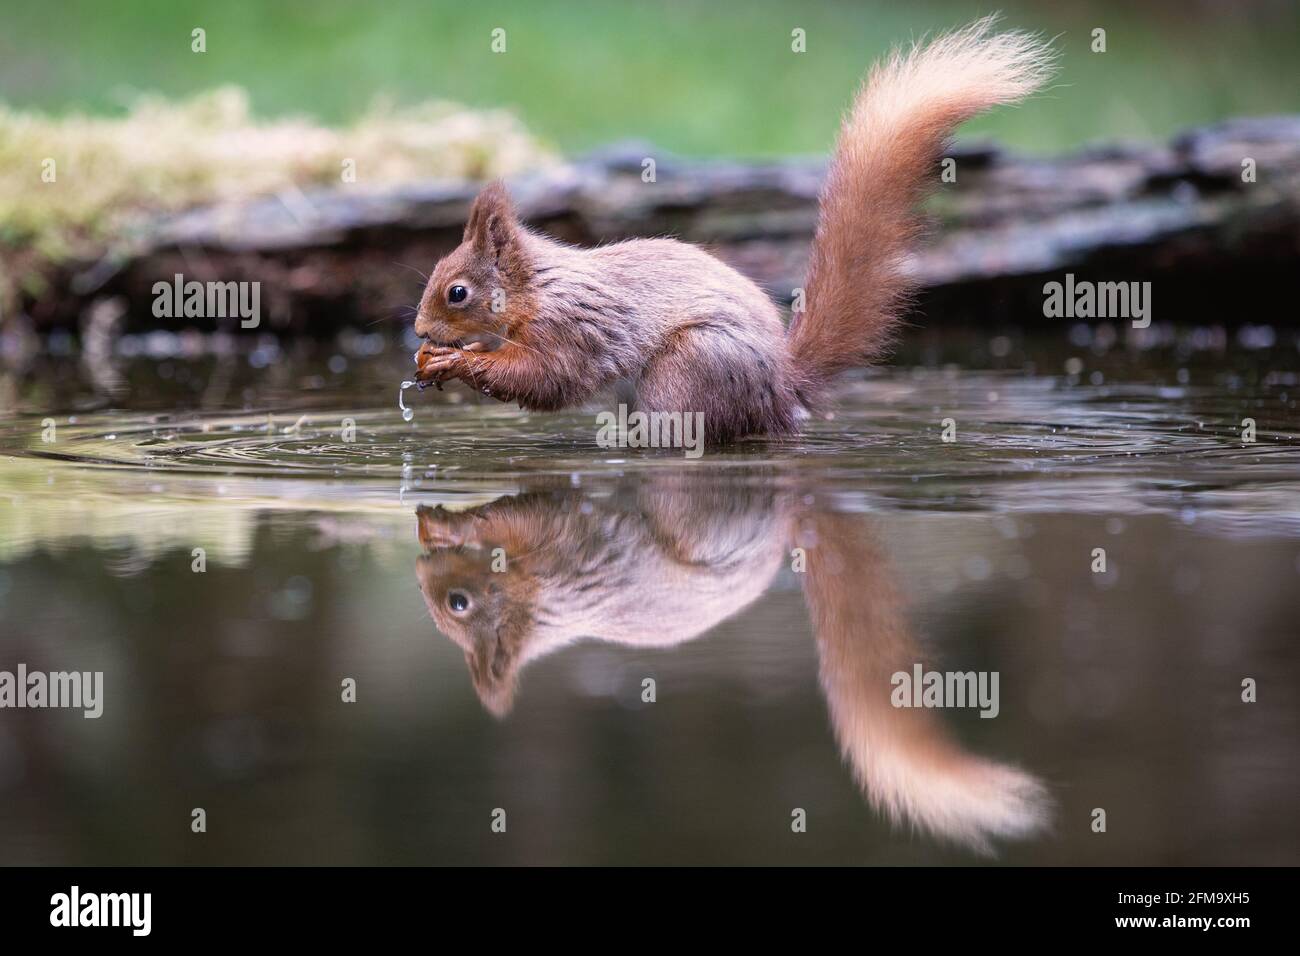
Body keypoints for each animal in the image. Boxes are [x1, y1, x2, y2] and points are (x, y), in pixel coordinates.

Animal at [413, 17, 1054, 443]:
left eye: (457, 292)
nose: (418, 331)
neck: (536, 288)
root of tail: (785, 385)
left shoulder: (574, 328)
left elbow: (548, 379)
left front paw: (457, 362)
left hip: (689, 371)